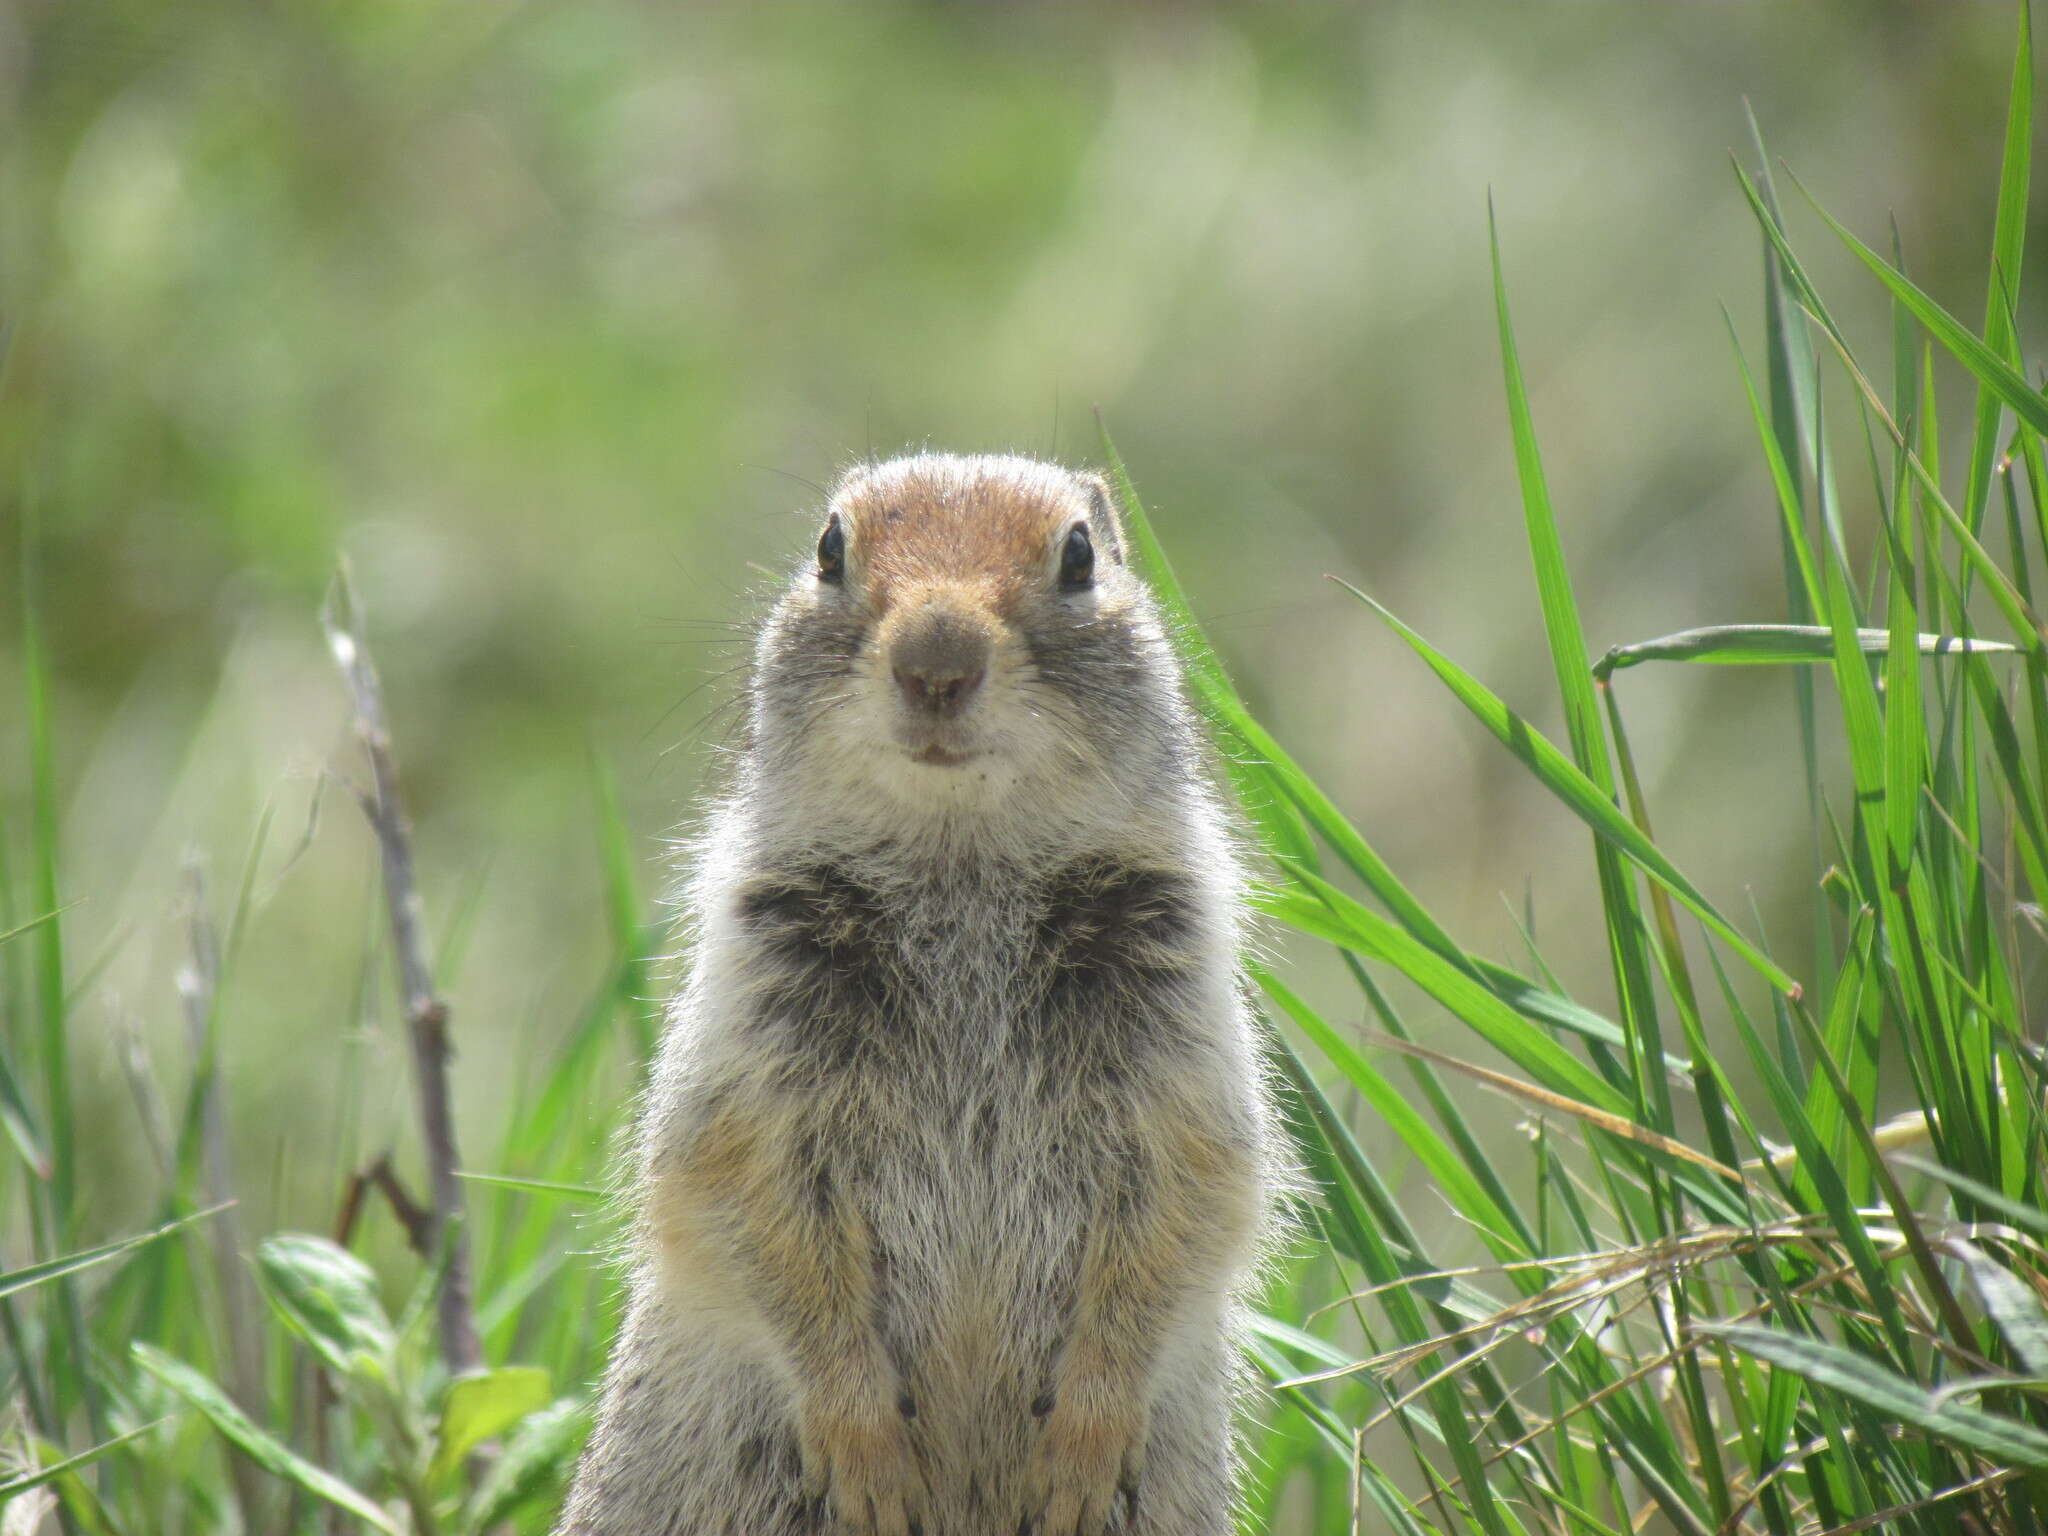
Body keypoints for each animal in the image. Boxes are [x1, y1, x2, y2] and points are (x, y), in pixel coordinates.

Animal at [557, 450, 1277, 1531]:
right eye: (828, 549)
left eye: (1079, 556)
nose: (936, 661)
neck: (960, 862)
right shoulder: (755, 1047)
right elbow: (752, 1212)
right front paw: (871, 1466)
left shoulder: (1174, 1035)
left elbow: (1182, 1212)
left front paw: (1077, 1457)